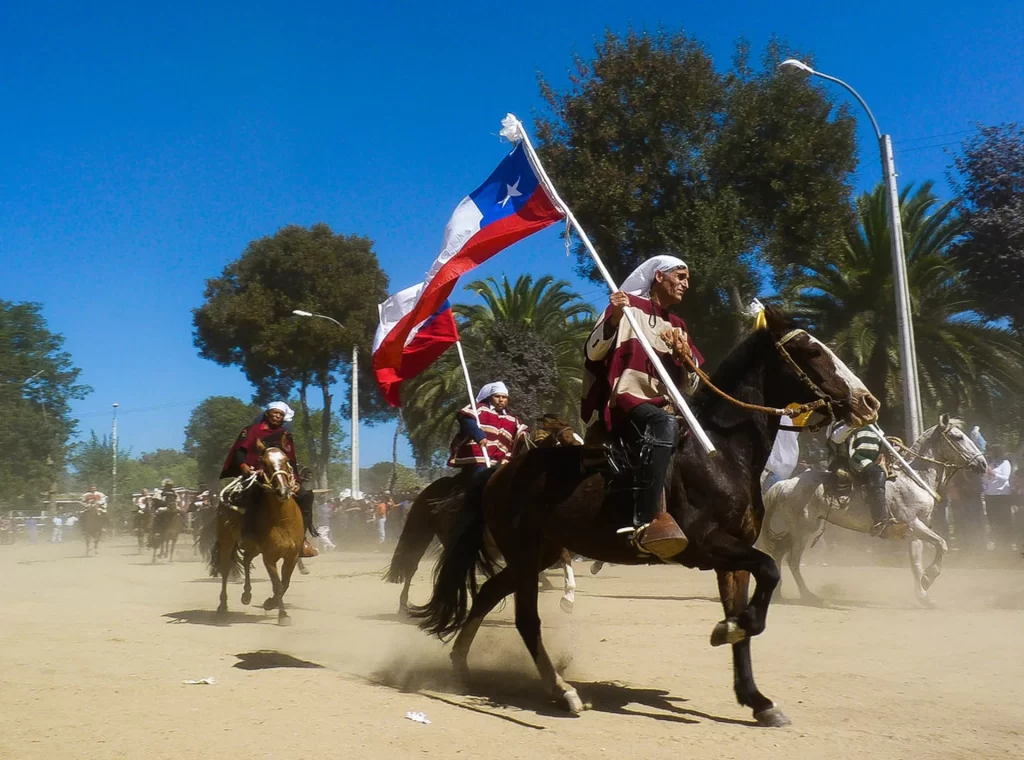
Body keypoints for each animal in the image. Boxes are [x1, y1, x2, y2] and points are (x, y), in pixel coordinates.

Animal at [207, 446, 303, 626]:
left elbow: (285, 584)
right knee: (225, 570)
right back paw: (222, 607)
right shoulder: (269, 558)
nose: (283, 491)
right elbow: (277, 585)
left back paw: (246, 594)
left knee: (246, 560)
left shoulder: (292, 556)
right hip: (227, 542)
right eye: (264, 463)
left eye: (286, 460)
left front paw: (271, 604)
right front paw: (281, 613)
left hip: (254, 547)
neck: (283, 521)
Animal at [385, 415, 581, 618]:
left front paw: (568, 598)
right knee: (413, 565)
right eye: (570, 442)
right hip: (426, 533)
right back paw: (405, 606)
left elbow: (565, 557)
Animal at [761, 415, 983, 606]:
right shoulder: (912, 524)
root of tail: (784, 483)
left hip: (797, 530)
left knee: (778, 553)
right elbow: (941, 544)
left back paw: (778, 593)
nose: (982, 463)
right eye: (958, 437)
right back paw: (809, 596)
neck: (914, 479)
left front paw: (924, 596)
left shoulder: (914, 533)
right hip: (803, 530)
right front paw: (929, 578)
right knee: (792, 561)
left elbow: (916, 563)